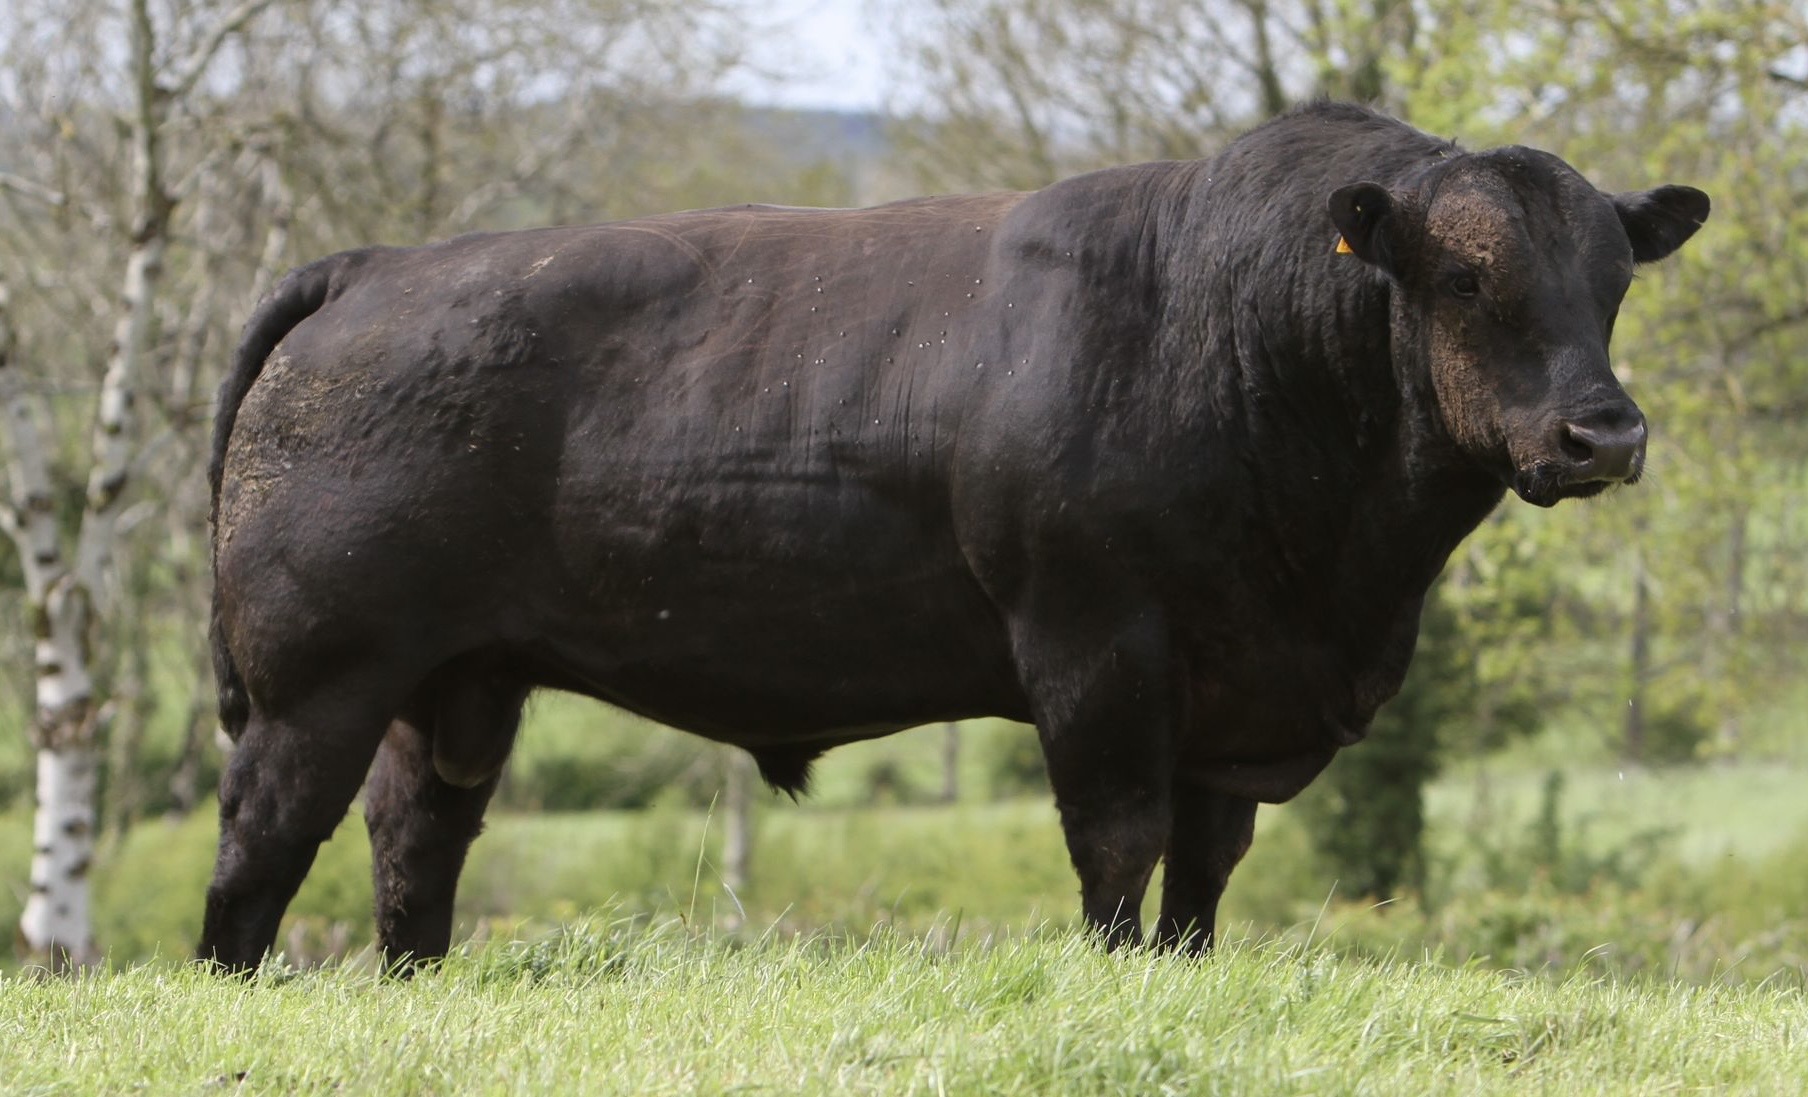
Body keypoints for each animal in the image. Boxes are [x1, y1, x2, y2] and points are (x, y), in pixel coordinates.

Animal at [198, 102, 1708, 971]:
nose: (1604, 434)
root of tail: (378, 266)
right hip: (313, 679)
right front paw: (1108, 976)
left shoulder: (1233, 691)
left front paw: (1178, 975)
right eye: (1463, 276)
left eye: (1614, 282)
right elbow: (1116, 839)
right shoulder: (1094, 645)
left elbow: (1203, 868)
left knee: (415, 839)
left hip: (451, 684)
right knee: (263, 840)